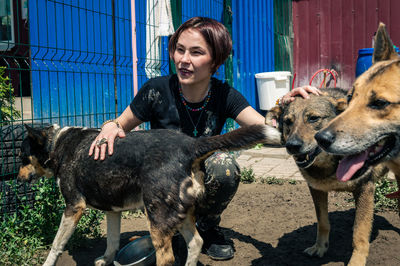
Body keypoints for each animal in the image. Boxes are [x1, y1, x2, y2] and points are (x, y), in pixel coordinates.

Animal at [18, 123, 282, 264]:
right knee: (196, 242)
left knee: (167, 259)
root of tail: (190, 145)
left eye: (22, 157)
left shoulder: (73, 207)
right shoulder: (112, 210)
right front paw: (106, 259)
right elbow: (112, 240)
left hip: (156, 214)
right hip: (180, 210)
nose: (18, 179)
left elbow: (56, 244)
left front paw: (47, 263)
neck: (56, 144)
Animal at [266, 88, 388, 266]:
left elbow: (360, 232)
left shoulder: (365, 188)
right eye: (288, 121)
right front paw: (320, 247)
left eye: (313, 118)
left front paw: (357, 260)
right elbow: (323, 222)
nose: (292, 146)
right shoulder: (316, 189)